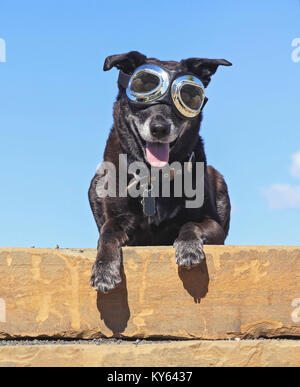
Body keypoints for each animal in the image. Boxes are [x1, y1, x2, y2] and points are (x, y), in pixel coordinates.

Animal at [88, 51, 231, 294]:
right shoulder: (118, 220)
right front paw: (104, 271)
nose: (159, 128)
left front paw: (188, 247)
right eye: (141, 87)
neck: (154, 176)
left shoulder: (214, 226)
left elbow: (190, 224)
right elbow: (106, 235)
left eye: (189, 96)